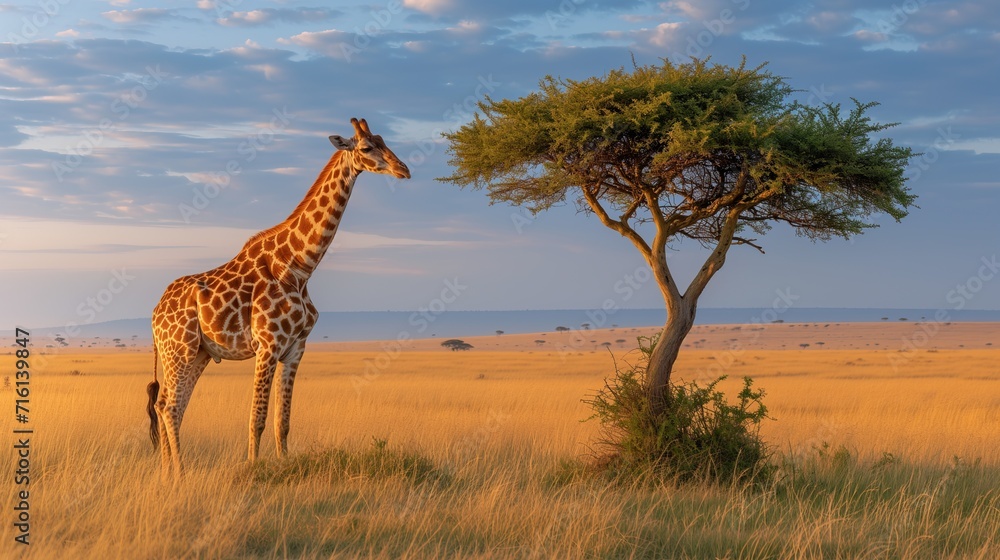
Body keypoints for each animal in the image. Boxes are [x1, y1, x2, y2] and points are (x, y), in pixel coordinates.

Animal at [146, 118, 410, 480]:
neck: (300, 266)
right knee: (169, 406)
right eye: (367, 147)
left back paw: (166, 473)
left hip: (198, 354)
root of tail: (154, 313)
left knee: (169, 405)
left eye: (385, 140)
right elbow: (256, 418)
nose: (404, 170)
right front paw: (252, 470)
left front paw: (284, 466)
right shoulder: (267, 345)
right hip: (179, 350)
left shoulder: (296, 348)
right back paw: (180, 474)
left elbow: (282, 421)